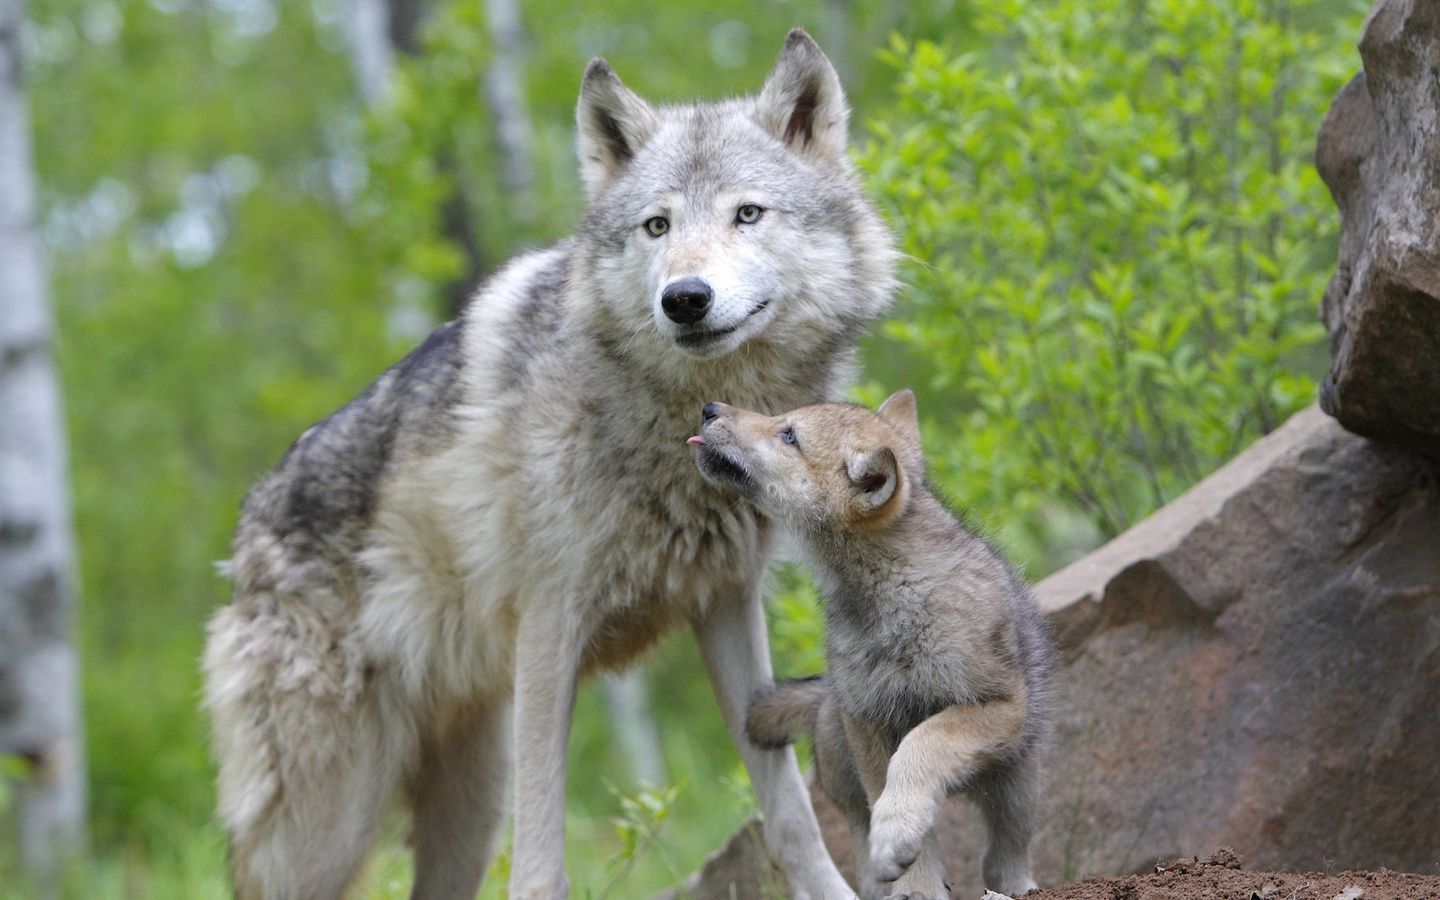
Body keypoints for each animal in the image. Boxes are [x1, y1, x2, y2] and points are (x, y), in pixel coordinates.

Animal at [202, 28, 894, 900]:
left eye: (747, 214)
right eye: (657, 226)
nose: (685, 299)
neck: (678, 424)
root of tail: (246, 531)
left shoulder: (727, 606)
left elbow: (791, 818)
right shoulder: (549, 630)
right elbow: (540, 863)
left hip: (467, 801)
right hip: (328, 825)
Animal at [688, 391, 1053, 900]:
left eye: (789, 435)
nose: (709, 408)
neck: (891, 595)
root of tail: (824, 695)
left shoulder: (997, 704)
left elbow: (923, 744)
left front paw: (899, 839)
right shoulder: (867, 718)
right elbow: (889, 794)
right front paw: (914, 882)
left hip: (1016, 784)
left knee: (1004, 855)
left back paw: (1017, 887)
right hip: (845, 769)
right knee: (863, 847)